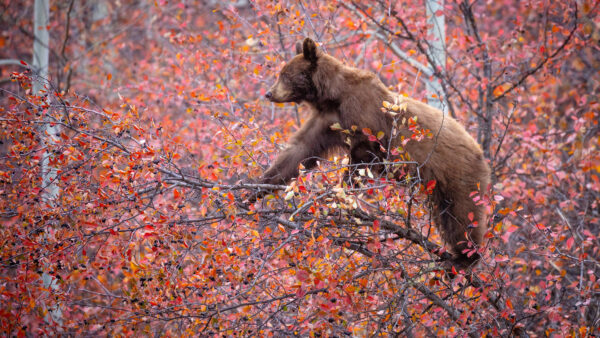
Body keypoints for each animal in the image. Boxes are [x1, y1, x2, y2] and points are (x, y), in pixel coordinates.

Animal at [260, 37, 490, 268]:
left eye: (285, 75)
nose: (268, 93)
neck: (333, 97)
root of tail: (480, 152)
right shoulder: (326, 123)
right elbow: (298, 153)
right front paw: (257, 187)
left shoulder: (364, 118)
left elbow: (361, 159)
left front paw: (338, 194)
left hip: (458, 174)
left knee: (462, 215)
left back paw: (465, 258)